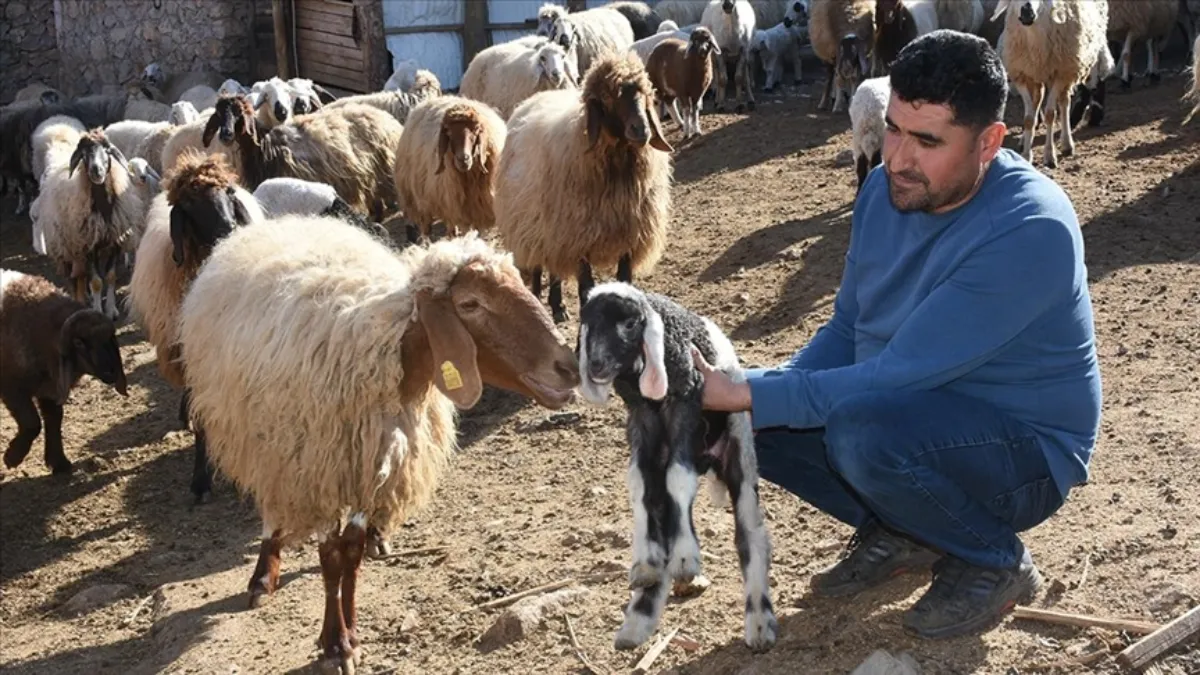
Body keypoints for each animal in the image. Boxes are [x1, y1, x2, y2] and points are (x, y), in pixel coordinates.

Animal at [0, 267, 128, 473]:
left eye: (109, 339)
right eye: (78, 343)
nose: (112, 372)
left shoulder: (50, 389)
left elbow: (54, 420)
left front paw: (59, 462)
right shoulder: (12, 386)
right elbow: (32, 423)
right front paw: (13, 457)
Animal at [176, 218, 580, 667]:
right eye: (470, 304)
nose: (569, 365)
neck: (387, 354)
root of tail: (273, 226)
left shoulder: (373, 462)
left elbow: (350, 555)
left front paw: (350, 633)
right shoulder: (320, 467)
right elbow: (330, 559)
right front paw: (334, 643)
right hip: (268, 443)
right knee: (270, 507)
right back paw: (264, 574)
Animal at [393, 93, 506, 242]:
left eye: (476, 130)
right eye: (448, 132)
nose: (463, 159)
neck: (470, 175)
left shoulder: (480, 208)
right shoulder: (460, 210)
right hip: (421, 195)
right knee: (426, 227)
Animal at [489, 52, 676, 324]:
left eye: (644, 93)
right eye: (607, 96)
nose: (641, 129)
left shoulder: (627, 234)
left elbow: (624, 281)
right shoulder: (577, 237)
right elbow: (586, 288)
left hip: (552, 231)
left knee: (554, 269)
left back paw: (557, 306)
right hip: (534, 225)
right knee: (537, 267)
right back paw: (537, 300)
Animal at [573, 279, 777, 653]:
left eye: (630, 324)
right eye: (587, 325)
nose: (595, 367)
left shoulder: (686, 402)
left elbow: (678, 478)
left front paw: (685, 557)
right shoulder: (641, 420)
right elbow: (639, 485)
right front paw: (645, 563)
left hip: (739, 446)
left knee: (749, 532)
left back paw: (759, 621)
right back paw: (638, 618)